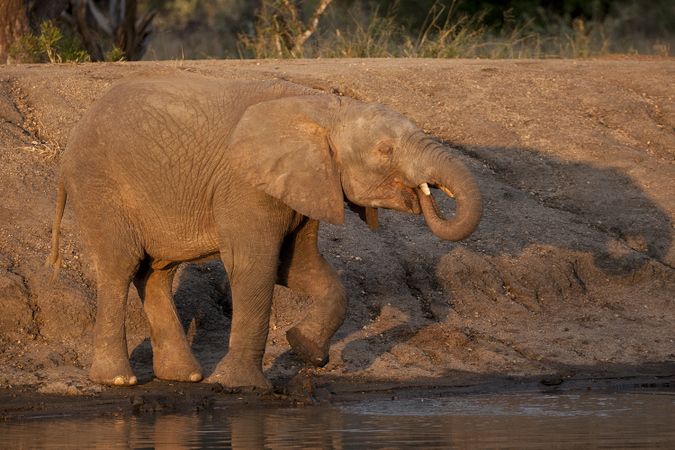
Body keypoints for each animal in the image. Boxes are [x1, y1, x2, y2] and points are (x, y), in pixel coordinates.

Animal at [47, 68, 484, 388]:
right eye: (385, 150)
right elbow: (254, 266)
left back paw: (185, 376)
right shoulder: (245, 184)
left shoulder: (304, 182)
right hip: (99, 184)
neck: (325, 107)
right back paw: (119, 381)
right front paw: (242, 387)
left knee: (157, 273)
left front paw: (304, 349)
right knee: (119, 266)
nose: (426, 194)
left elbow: (294, 266)